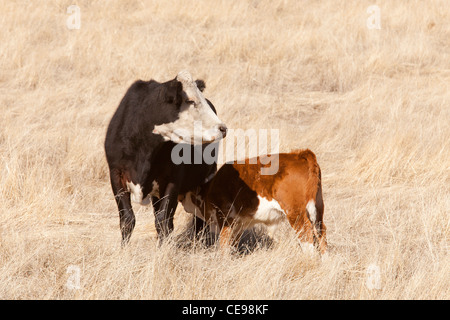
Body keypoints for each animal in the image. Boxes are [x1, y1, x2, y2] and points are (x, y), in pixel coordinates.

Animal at [103, 70, 227, 245]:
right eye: (190, 100)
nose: (222, 128)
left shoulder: (172, 180)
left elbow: (164, 221)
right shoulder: (116, 174)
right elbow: (127, 219)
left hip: (206, 178)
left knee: (200, 219)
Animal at [180, 149, 326, 254]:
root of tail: (301, 155)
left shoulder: (224, 218)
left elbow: (224, 246)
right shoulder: (238, 224)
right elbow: (232, 245)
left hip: (295, 212)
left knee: (306, 233)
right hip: (317, 209)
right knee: (321, 231)